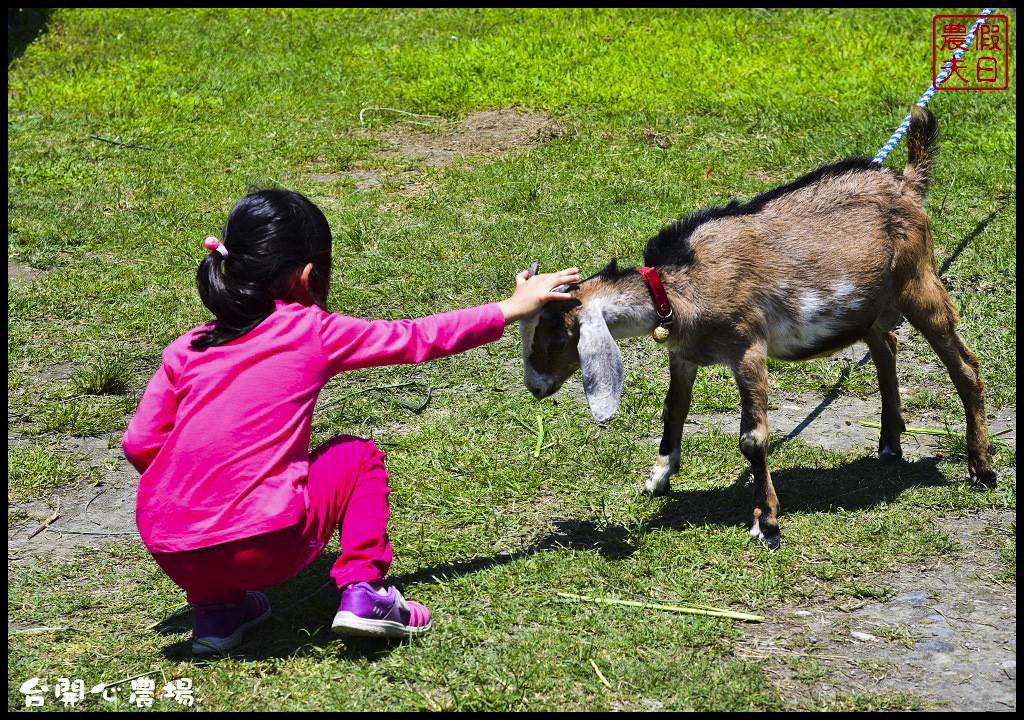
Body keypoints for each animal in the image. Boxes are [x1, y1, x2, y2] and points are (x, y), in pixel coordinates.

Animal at [520, 105, 991, 544]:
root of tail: (908, 183)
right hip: (869, 306)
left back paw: (981, 469)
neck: (679, 286)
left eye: (559, 340)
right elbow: (673, 409)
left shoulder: (748, 347)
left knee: (965, 366)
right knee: (886, 348)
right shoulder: (684, 355)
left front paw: (766, 522)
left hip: (919, 281)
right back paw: (890, 442)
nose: (535, 387)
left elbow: (753, 438)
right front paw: (658, 478)